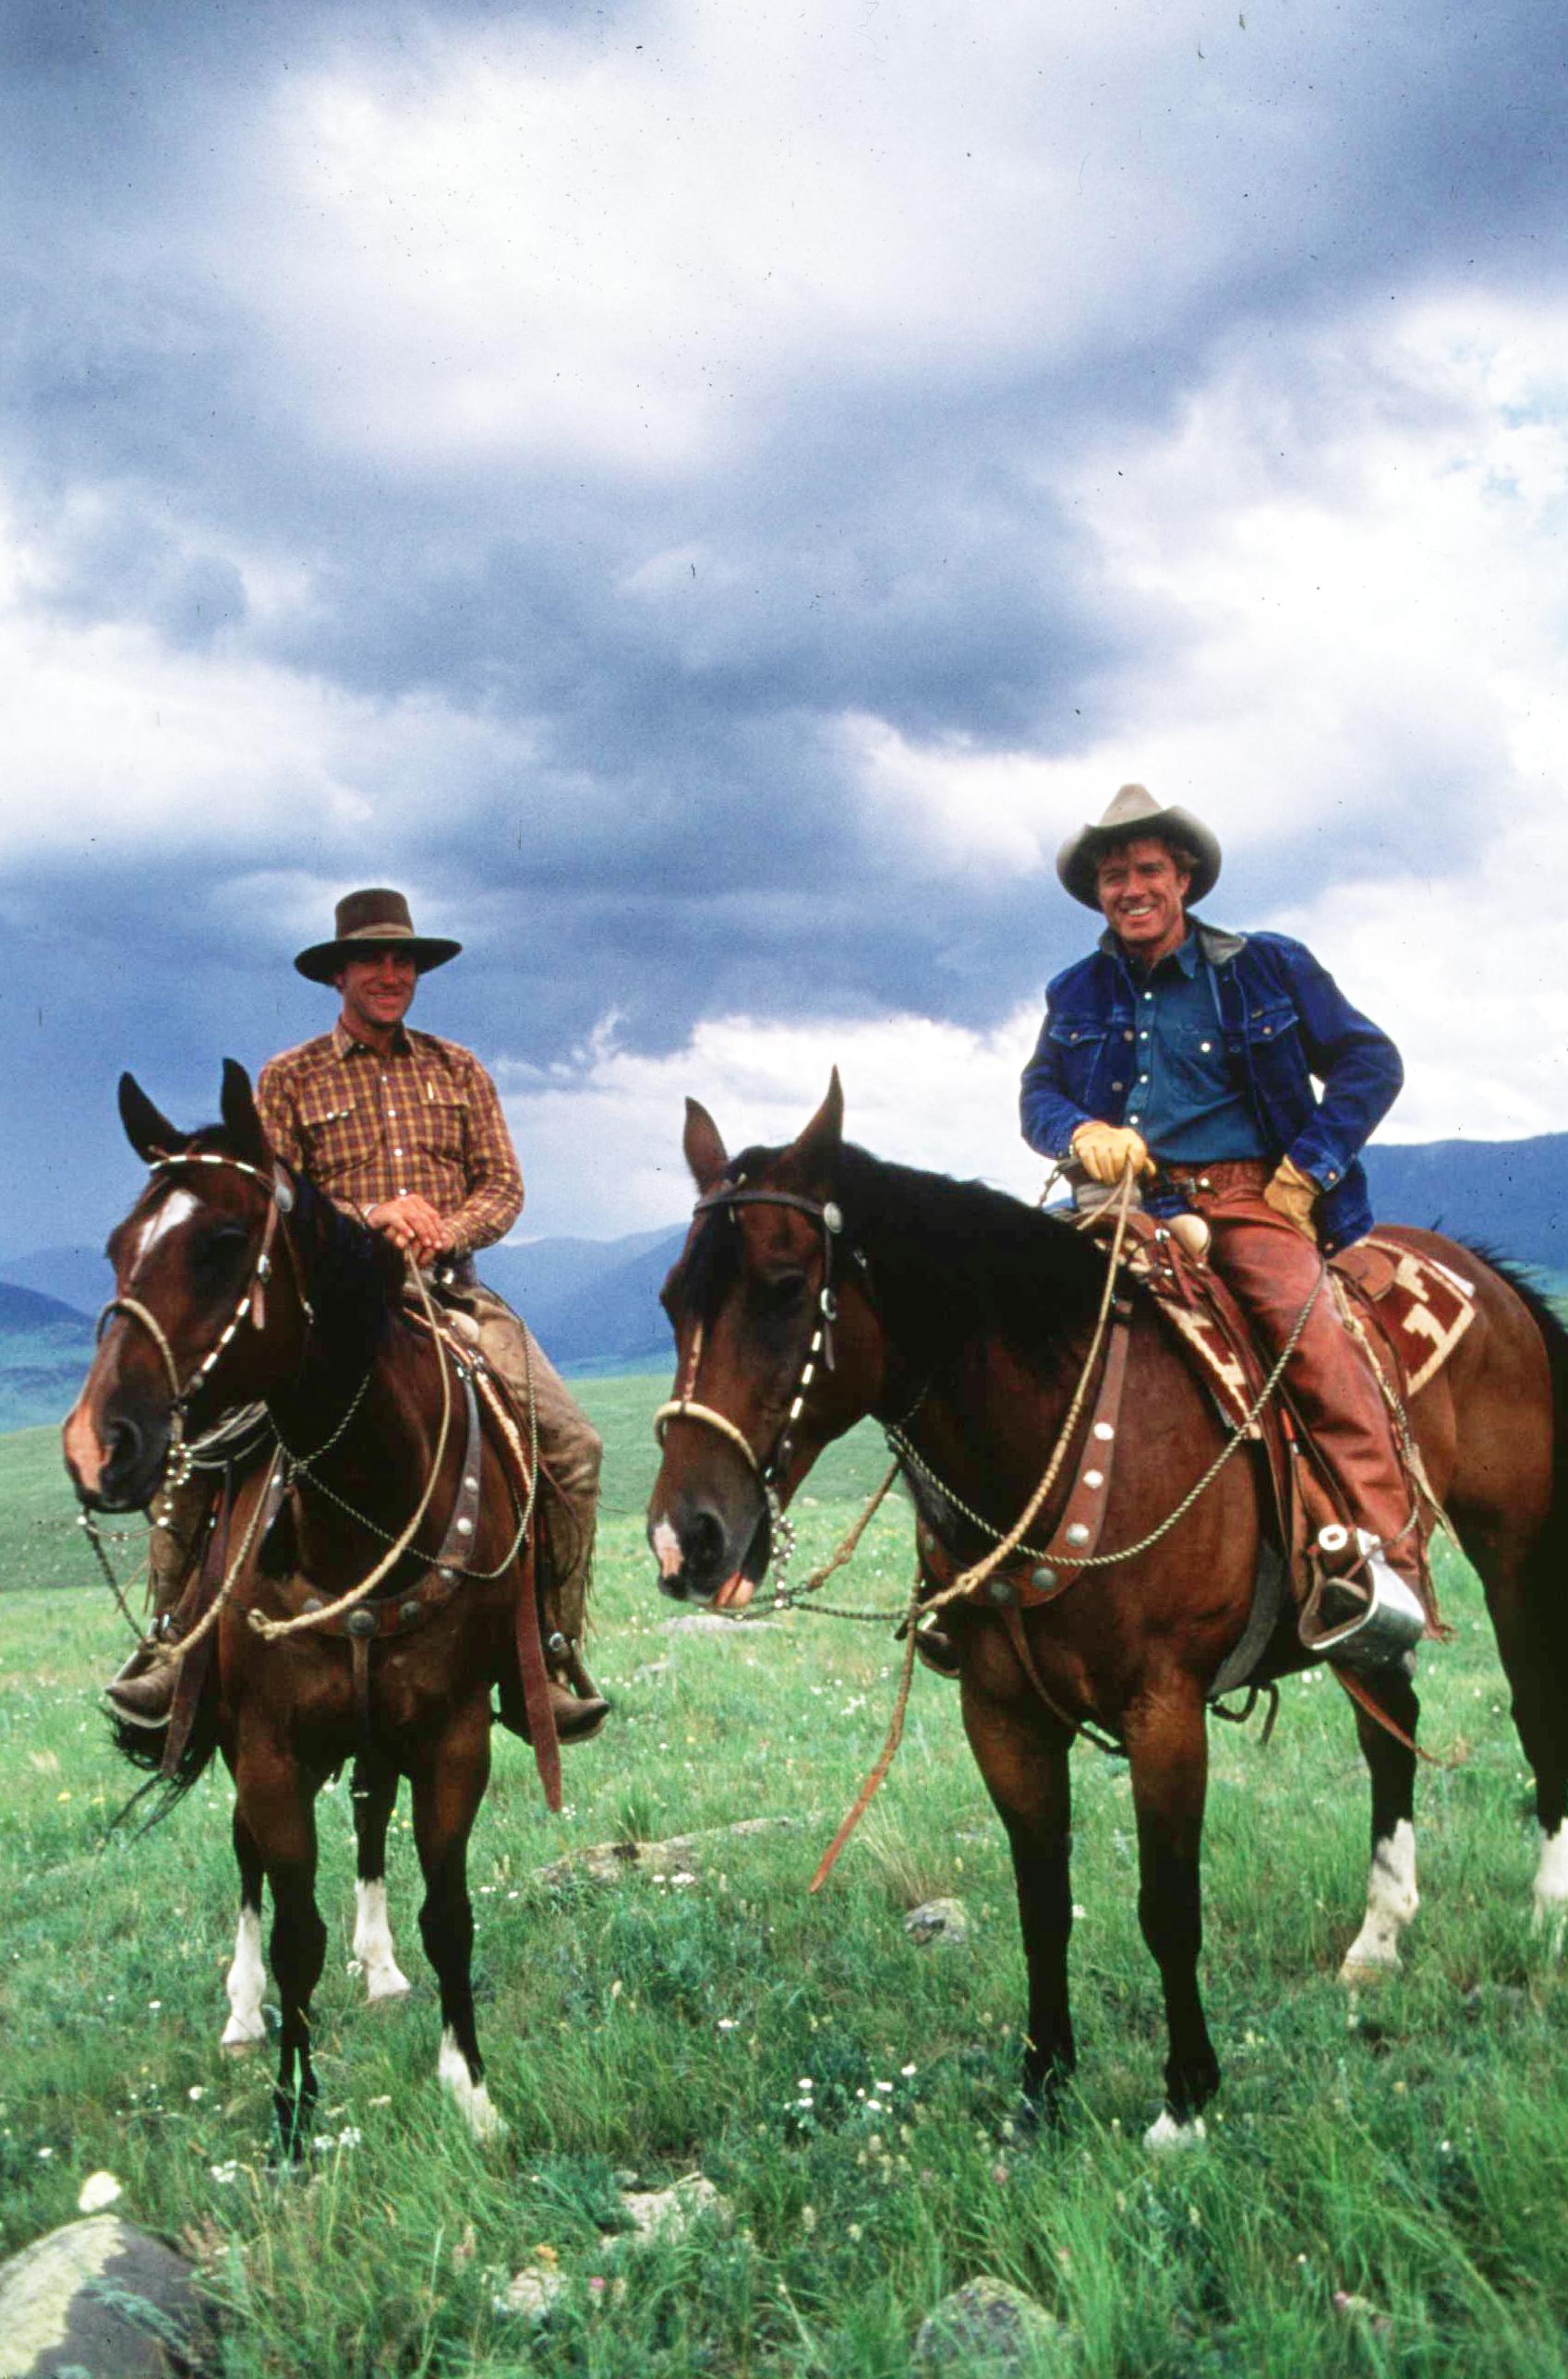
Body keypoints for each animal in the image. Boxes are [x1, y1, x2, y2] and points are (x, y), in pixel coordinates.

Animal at [62, 1070, 563, 2150]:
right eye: (118, 1244)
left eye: (220, 1242)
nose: (94, 1448)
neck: (362, 1508)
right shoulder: (269, 1744)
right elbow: (295, 1924)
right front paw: (293, 2117)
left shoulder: (454, 1734)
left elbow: (449, 1912)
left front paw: (473, 2091)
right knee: (247, 1857)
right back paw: (245, 2012)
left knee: (371, 1815)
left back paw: (380, 1968)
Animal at [646, 1080, 1568, 2141]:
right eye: (671, 1300)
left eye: (786, 1285)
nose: (686, 1538)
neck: (1054, 1427)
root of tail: (1486, 1276)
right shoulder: (1001, 1714)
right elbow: (1042, 1899)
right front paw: (1043, 2083)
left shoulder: (1163, 1710)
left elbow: (1167, 1903)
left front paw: (1187, 2097)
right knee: (1390, 1730)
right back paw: (1377, 1938)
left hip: (1515, 1554)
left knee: (1533, 1708)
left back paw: (1548, 1911)